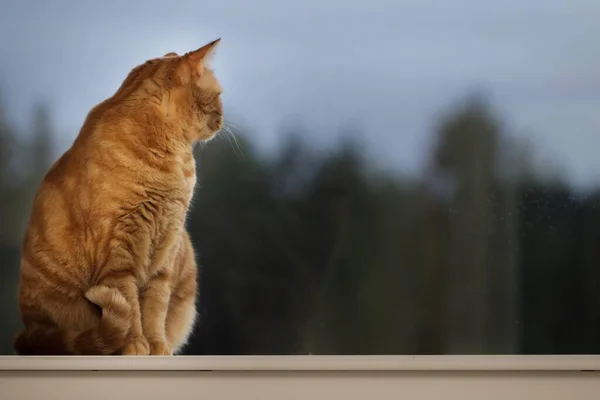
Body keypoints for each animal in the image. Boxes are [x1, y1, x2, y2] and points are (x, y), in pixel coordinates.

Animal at [14, 39, 225, 354]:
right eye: (219, 96)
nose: (223, 119)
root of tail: (32, 331)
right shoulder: (117, 250)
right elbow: (128, 302)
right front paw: (135, 344)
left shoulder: (166, 248)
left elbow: (154, 306)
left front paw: (157, 345)